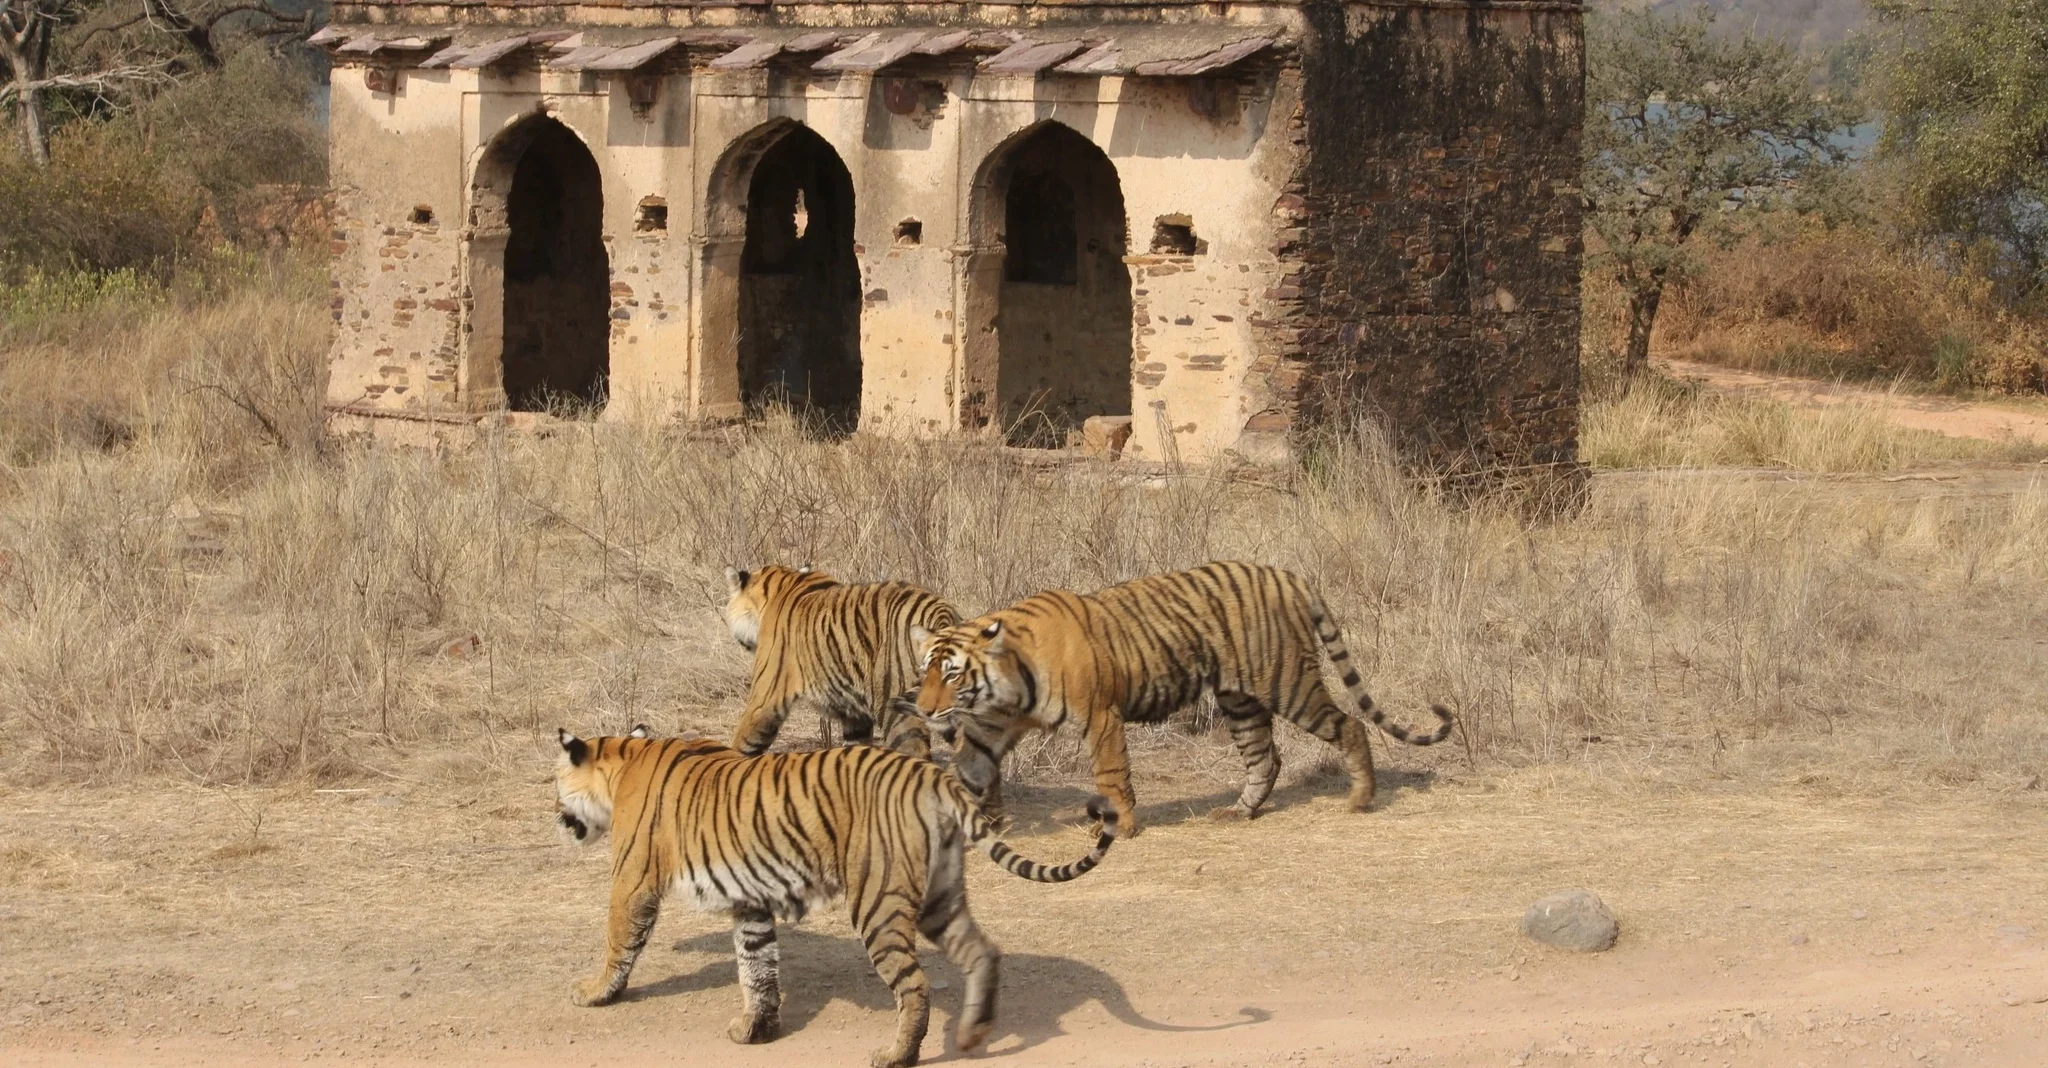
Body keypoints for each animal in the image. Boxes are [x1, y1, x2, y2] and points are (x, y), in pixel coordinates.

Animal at [554, 725, 1117, 1068]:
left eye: (554, 784)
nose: (556, 818)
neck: (622, 761)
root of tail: (928, 771)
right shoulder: (751, 902)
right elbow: (756, 965)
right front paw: (757, 1027)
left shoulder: (633, 879)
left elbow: (619, 940)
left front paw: (595, 992)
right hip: (940, 896)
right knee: (982, 952)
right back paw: (973, 1035)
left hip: (877, 901)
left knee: (915, 984)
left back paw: (897, 1054)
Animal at [909, 560, 1455, 837]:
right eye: (925, 672)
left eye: (952, 675)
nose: (925, 709)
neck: (1009, 675)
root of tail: (1286, 574)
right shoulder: (994, 723)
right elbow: (970, 769)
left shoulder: (1101, 717)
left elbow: (1112, 774)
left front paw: (1120, 827)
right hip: (1240, 699)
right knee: (1266, 758)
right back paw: (1238, 813)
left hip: (1286, 682)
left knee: (1349, 725)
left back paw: (1360, 799)